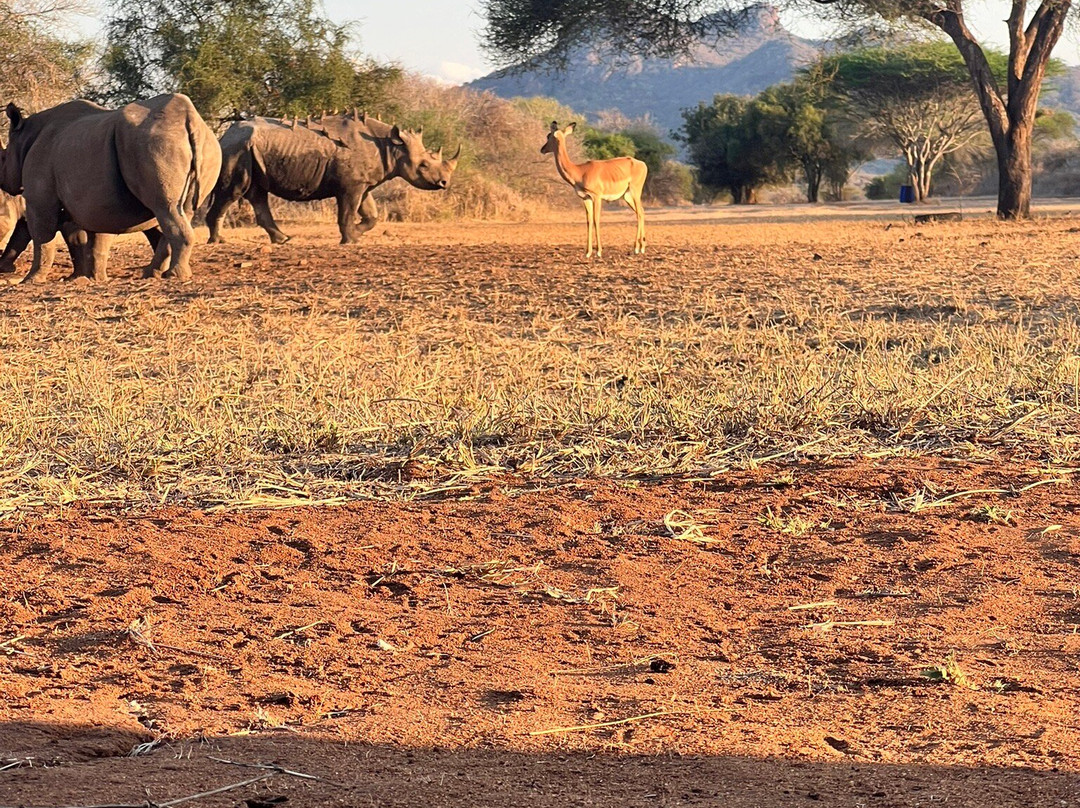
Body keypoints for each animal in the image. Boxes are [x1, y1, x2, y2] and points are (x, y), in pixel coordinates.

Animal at [0, 93, 221, 282]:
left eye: (3, 157)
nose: (3, 182)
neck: (26, 136)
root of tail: (190, 120)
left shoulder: (40, 199)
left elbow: (42, 236)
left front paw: (31, 280)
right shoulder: (98, 200)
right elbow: (91, 239)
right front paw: (90, 279)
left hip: (156, 145)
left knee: (166, 208)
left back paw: (174, 276)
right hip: (206, 148)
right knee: (181, 211)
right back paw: (152, 274)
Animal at [206, 111, 459, 245]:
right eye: (423, 165)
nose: (444, 183)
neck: (391, 146)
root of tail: (224, 136)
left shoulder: (363, 184)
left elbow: (371, 215)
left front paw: (357, 235)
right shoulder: (351, 185)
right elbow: (346, 212)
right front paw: (349, 241)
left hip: (248, 149)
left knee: (258, 194)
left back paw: (283, 239)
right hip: (237, 149)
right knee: (233, 191)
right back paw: (218, 241)